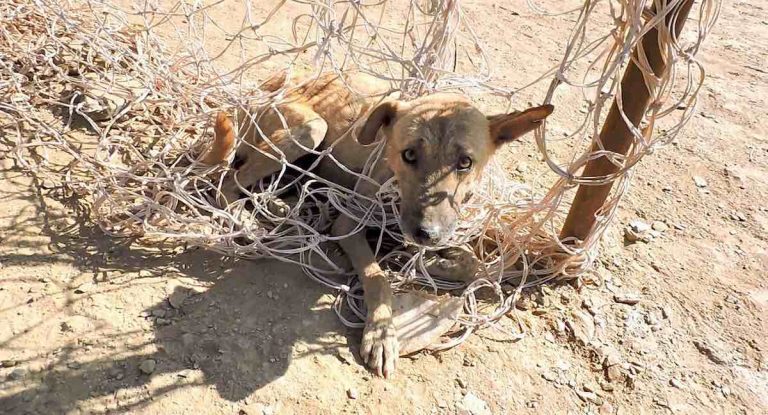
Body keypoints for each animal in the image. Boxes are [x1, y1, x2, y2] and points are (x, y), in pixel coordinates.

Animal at [201, 70, 556, 376]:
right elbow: (378, 278)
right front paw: (382, 334)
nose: (426, 234)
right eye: (408, 154)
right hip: (311, 129)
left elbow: (479, 265)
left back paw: (280, 206)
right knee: (228, 182)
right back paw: (248, 219)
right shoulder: (348, 227)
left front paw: (442, 263)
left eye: (465, 162)